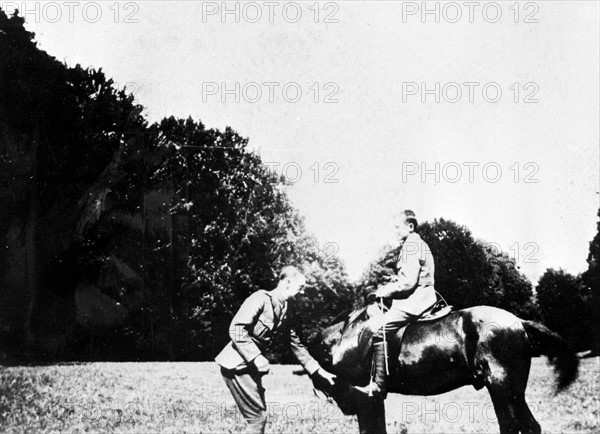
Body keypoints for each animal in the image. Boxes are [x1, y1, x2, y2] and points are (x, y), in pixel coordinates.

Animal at [308, 306, 580, 434]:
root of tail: (519, 322)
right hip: (512, 393)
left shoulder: (366, 399)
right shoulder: (372, 400)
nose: (346, 406)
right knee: (527, 426)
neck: (348, 334)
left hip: (502, 389)